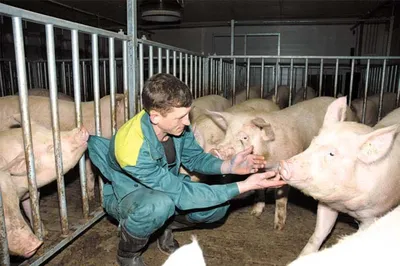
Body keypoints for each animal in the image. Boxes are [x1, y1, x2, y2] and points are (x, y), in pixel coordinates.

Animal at [206, 96, 356, 230]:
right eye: (226, 134)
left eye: (244, 137)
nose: (217, 150)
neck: (268, 159)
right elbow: (259, 190)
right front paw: (255, 213)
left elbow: (280, 199)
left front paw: (278, 227)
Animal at [278, 95, 400, 256]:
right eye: (313, 142)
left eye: (331, 153)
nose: (283, 164)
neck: (347, 205)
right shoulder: (327, 205)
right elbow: (320, 233)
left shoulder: (373, 216)